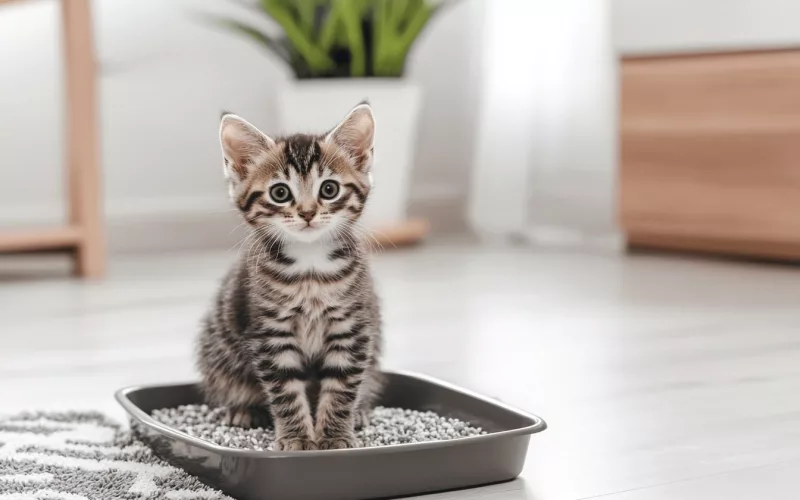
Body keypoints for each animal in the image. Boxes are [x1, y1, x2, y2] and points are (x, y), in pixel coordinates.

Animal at [200, 103, 388, 452]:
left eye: (329, 189)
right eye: (280, 193)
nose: (307, 212)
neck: (310, 268)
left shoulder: (352, 328)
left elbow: (342, 385)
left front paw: (334, 436)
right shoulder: (271, 333)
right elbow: (285, 390)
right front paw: (298, 438)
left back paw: (360, 412)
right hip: (218, 349)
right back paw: (242, 409)